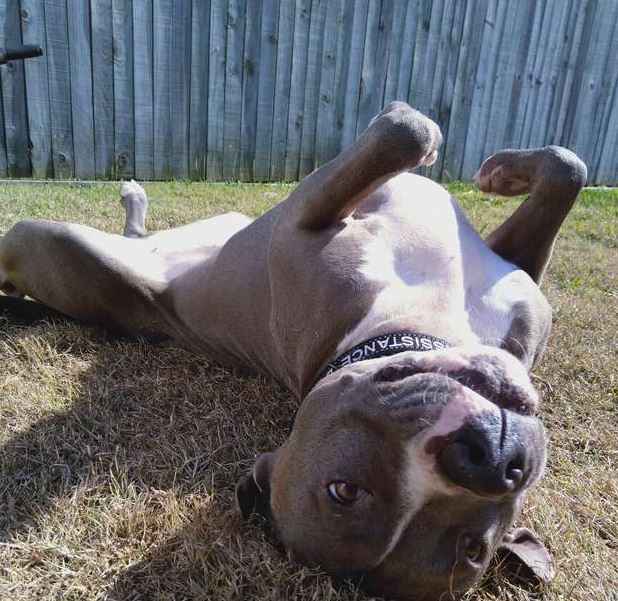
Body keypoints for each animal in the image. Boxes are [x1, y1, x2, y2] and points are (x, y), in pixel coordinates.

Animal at [0, 104, 584, 600]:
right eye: (345, 491)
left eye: (472, 546)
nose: (490, 461)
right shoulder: (306, 218)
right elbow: (421, 135)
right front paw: (501, 172)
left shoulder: (511, 275)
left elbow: (543, 166)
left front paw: (500, 169)